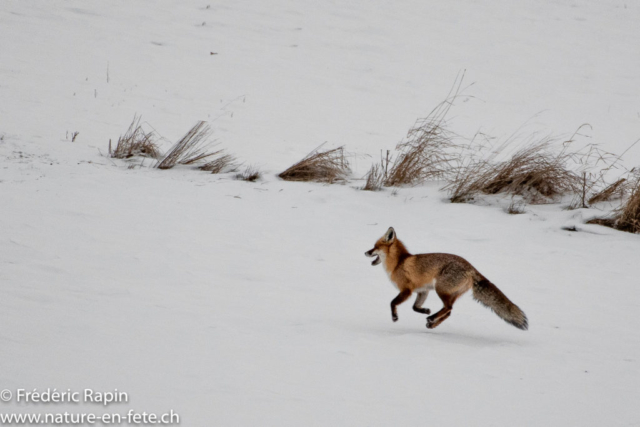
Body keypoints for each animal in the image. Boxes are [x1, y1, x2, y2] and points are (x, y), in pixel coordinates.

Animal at [365, 227, 528, 330]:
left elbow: (392, 303)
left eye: (374, 247)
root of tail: (471, 267)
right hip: (449, 293)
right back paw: (432, 322)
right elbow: (415, 307)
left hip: (441, 289)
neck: (399, 262)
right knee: (449, 311)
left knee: (448, 308)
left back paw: (432, 319)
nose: (365, 252)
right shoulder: (423, 291)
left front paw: (395, 317)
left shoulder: (407, 290)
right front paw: (425, 310)